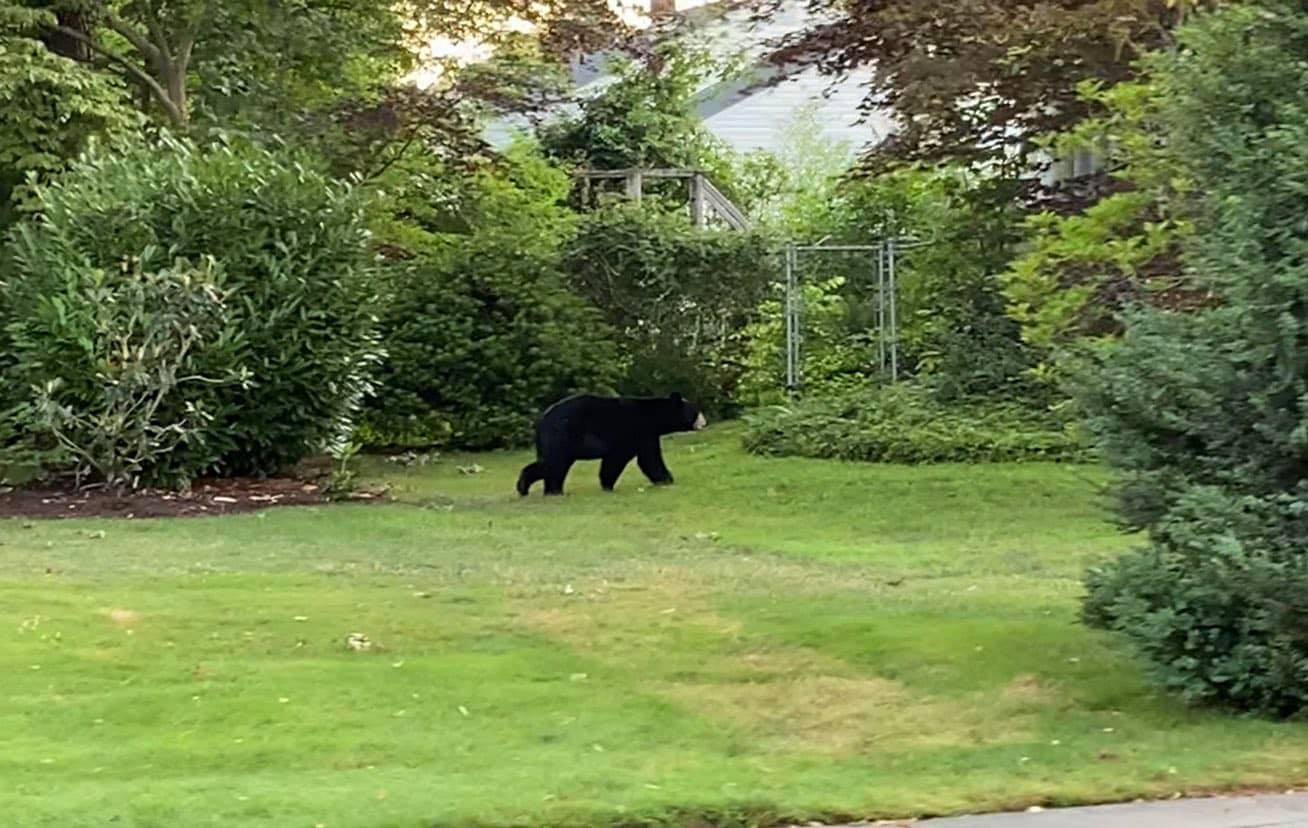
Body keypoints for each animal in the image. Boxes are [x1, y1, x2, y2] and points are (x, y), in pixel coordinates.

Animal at [515, 389, 711, 494]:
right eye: (696, 410)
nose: (704, 422)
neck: (653, 416)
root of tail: (541, 420)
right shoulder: (638, 431)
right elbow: (646, 459)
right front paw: (667, 480)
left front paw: (606, 485)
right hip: (562, 435)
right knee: (555, 464)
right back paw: (549, 490)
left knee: (548, 464)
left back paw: (528, 487)